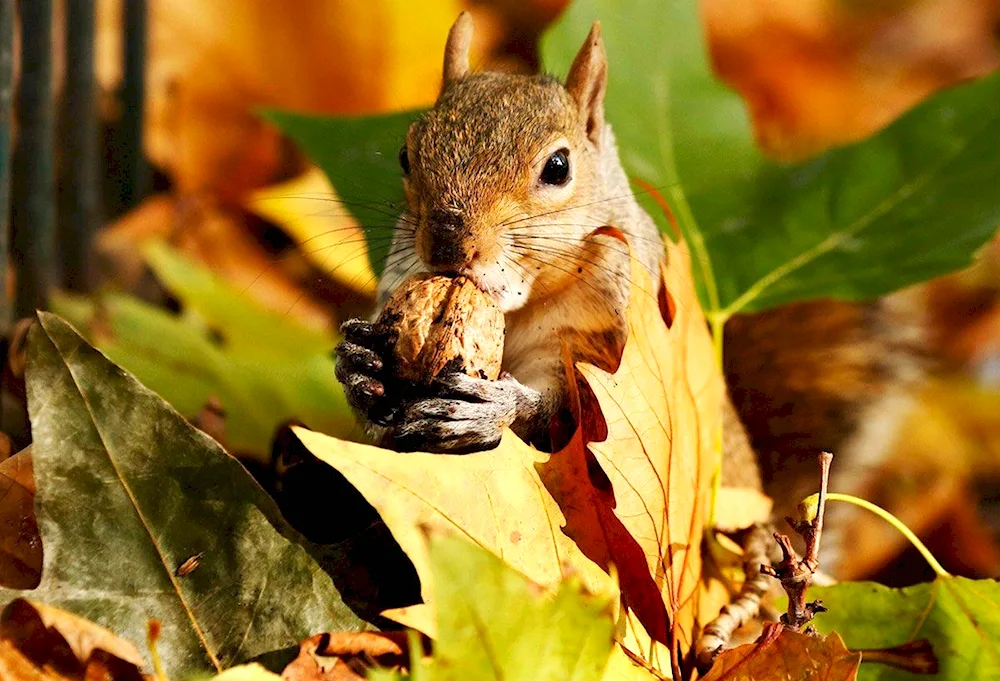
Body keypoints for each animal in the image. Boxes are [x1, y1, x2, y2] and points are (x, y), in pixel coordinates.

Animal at [334, 11, 920, 510]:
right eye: (406, 154)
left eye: (558, 167)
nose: (448, 246)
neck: (520, 307)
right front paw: (359, 364)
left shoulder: (606, 341)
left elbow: (574, 420)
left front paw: (492, 409)